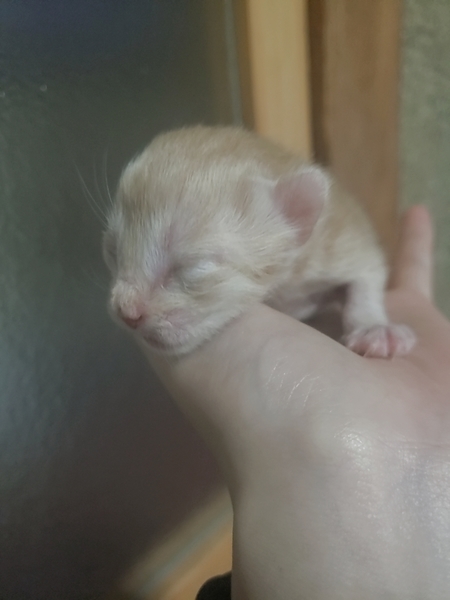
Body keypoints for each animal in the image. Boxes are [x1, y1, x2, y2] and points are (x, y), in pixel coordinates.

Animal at [103, 125, 415, 358]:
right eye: (112, 252)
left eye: (195, 266)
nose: (127, 313)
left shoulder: (341, 236)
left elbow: (368, 276)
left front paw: (375, 328)